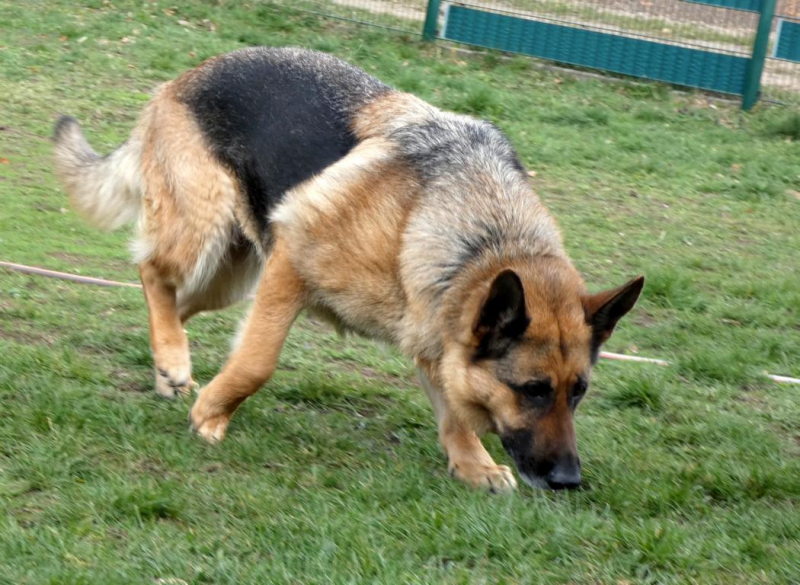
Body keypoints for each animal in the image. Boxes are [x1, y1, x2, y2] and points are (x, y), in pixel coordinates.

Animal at [53, 47, 643, 491]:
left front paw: (472, 464)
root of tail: (184, 77)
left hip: (231, 275)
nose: (569, 481)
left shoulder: (433, 330)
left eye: (578, 391)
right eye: (533, 390)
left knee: (174, 302)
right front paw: (211, 416)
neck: (481, 237)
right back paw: (175, 362)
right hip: (207, 235)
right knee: (152, 271)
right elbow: (256, 362)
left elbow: (453, 411)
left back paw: (167, 364)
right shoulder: (291, 264)